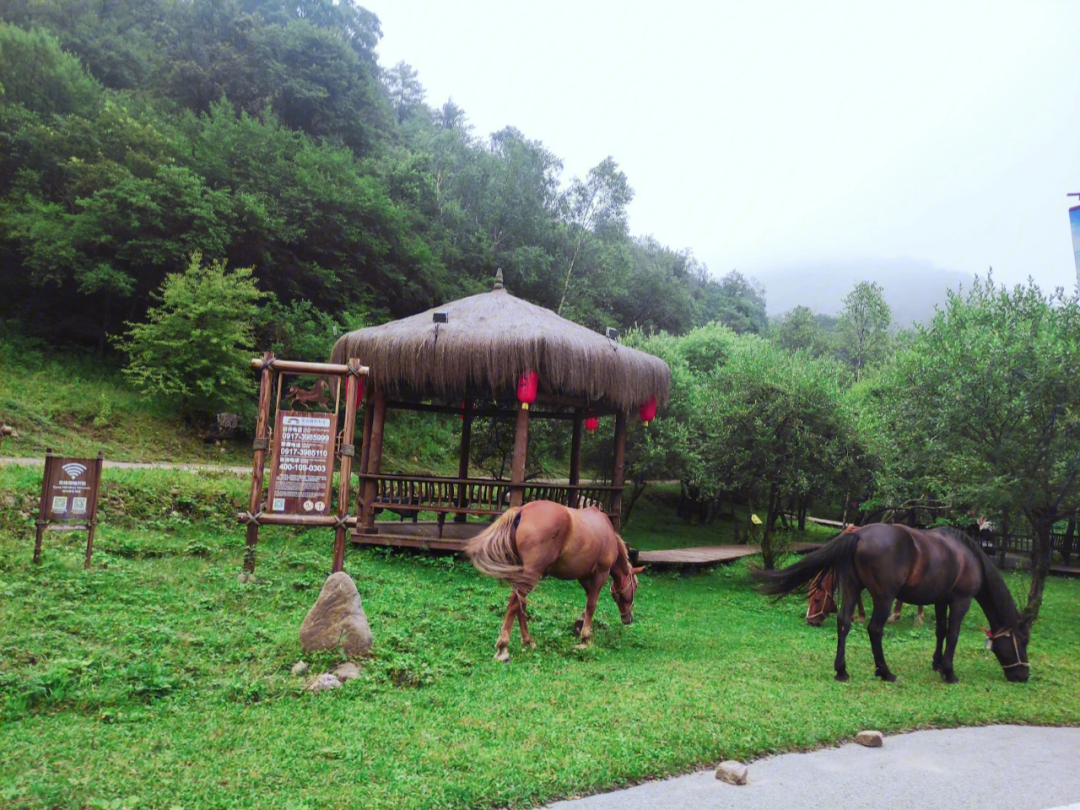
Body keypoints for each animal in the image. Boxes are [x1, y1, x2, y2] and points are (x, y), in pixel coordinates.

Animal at [462, 501, 639, 665]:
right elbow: (591, 605)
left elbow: (588, 601)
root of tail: (522, 510)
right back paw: (503, 648)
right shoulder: (600, 575)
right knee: (513, 604)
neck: (608, 534)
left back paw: (528, 640)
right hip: (531, 575)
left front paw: (579, 624)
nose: (628, 618)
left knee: (520, 605)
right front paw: (585, 638)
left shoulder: (584, 577)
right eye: (635, 587)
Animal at [751, 527, 1028, 686]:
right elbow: (953, 635)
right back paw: (885, 671)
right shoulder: (961, 600)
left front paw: (937, 663)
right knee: (875, 629)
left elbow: (941, 631)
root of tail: (858, 535)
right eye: (1022, 641)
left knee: (844, 622)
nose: (1024, 675)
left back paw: (842, 671)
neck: (969, 557)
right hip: (883, 597)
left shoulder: (941, 600)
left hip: (851, 587)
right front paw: (949, 673)